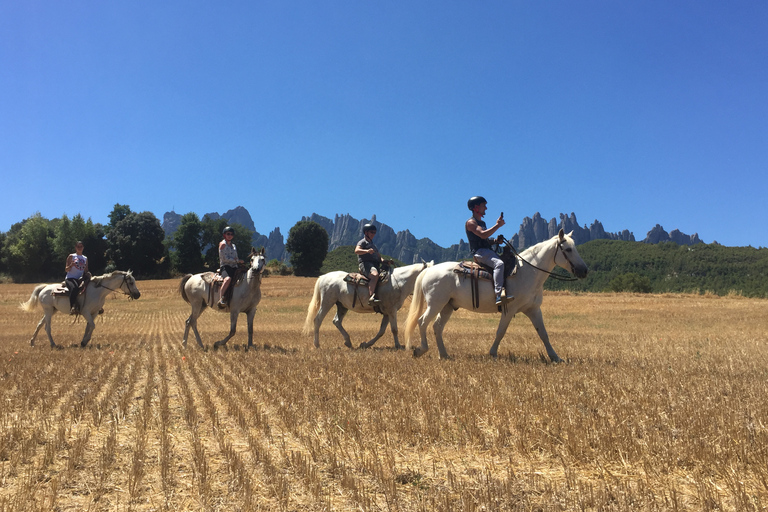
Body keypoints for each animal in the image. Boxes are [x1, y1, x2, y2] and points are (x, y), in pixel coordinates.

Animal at [302, 262, 432, 350]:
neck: (399, 282)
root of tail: (323, 277)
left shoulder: (386, 313)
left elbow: (381, 331)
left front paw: (365, 344)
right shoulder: (392, 310)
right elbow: (394, 329)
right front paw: (398, 346)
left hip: (342, 306)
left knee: (336, 321)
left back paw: (348, 342)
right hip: (327, 302)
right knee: (318, 320)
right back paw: (317, 344)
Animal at [404, 230, 592, 362]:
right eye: (568, 249)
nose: (584, 271)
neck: (527, 272)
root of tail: (429, 270)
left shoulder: (533, 310)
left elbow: (543, 334)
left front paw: (555, 357)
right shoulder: (509, 309)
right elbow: (500, 331)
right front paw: (493, 353)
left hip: (448, 306)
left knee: (437, 327)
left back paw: (444, 355)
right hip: (435, 304)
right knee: (422, 322)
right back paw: (421, 350)